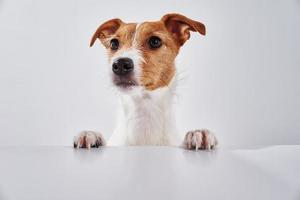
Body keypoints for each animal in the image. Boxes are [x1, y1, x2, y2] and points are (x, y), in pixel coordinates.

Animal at [73, 12, 218, 150]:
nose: (120, 64)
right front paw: (91, 135)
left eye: (155, 41)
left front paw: (198, 134)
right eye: (114, 43)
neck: (143, 110)